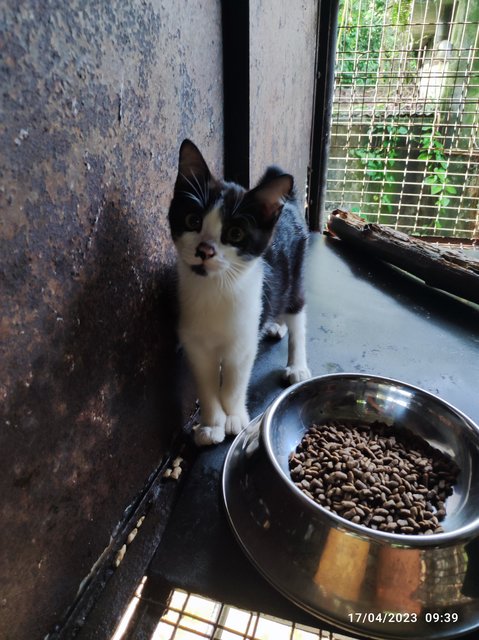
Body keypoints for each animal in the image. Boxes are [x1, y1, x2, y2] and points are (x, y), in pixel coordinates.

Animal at [169, 140, 312, 444]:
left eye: (235, 233)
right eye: (192, 220)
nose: (204, 250)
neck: (216, 289)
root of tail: (289, 203)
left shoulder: (243, 342)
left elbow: (233, 382)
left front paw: (234, 418)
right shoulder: (195, 345)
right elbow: (206, 385)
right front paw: (212, 424)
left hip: (295, 274)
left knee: (297, 314)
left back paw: (296, 364)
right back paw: (275, 325)